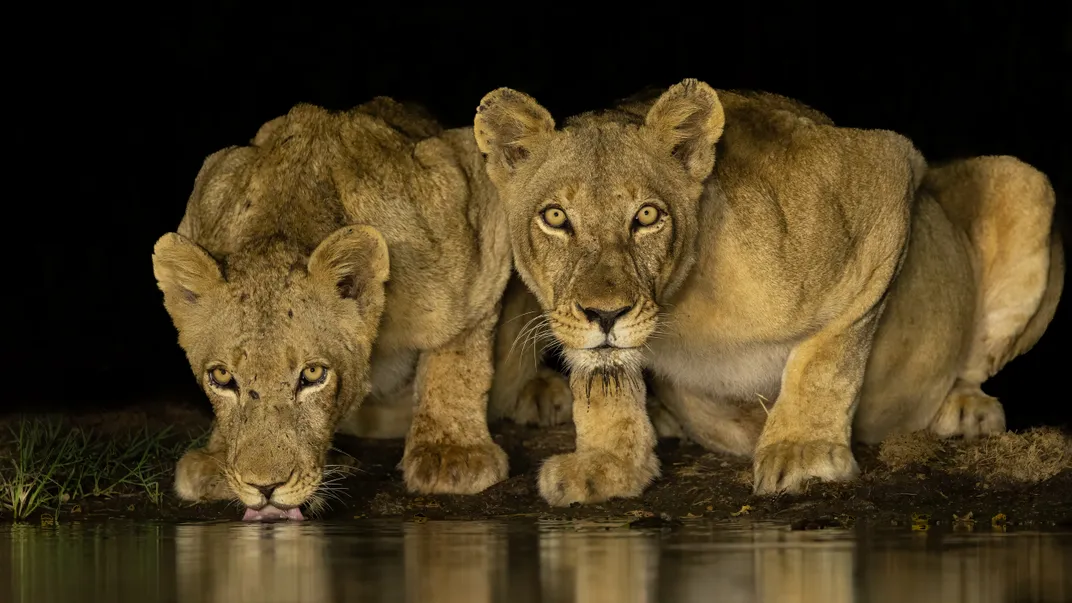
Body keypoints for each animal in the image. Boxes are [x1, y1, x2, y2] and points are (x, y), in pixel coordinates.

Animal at [153, 97, 541, 519]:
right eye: (222, 377)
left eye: (313, 374)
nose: (265, 487)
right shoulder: (212, 184)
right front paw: (217, 459)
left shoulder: (474, 199)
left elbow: (458, 355)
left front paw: (452, 454)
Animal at [474, 79, 1064, 505]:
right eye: (555, 217)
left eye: (647, 216)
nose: (605, 314)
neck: (682, 304)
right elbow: (605, 383)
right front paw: (611, 465)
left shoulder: (886, 172)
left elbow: (827, 359)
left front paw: (803, 450)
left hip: (1024, 182)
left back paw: (964, 410)